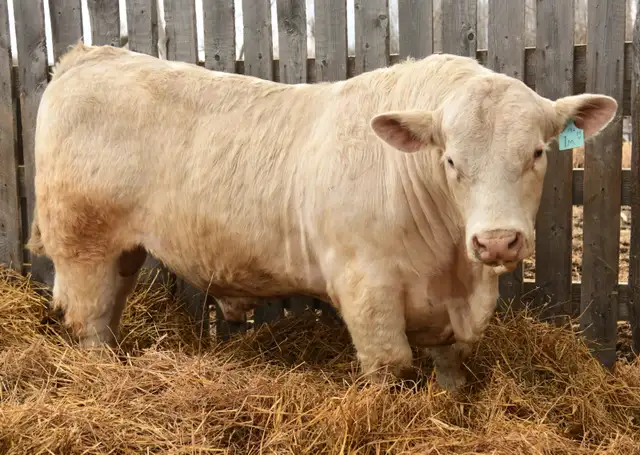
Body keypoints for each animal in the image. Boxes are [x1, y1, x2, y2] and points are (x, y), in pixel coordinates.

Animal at [28, 42, 617, 391]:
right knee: (90, 321)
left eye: (537, 152)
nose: (496, 242)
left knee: (109, 311)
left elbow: (451, 364)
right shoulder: (365, 287)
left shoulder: (460, 305)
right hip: (83, 245)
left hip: (123, 251)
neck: (452, 267)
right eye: (450, 160)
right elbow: (390, 365)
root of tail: (91, 55)